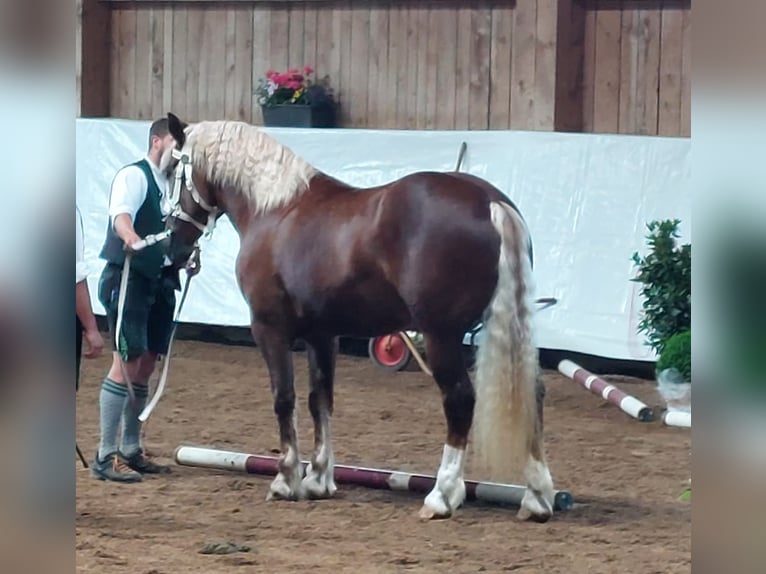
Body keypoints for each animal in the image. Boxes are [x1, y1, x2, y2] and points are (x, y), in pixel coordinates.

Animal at [159, 112, 556, 522]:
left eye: (172, 169)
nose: (172, 242)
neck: (275, 210)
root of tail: (490, 201)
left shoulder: (269, 328)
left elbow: (284, 398)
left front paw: (286, 479)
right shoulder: (322, 334)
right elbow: (320, 398)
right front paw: (318, 479)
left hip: (440, 335)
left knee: (460, 399)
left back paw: (441, 496)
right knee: (533, 393)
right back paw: (537, 497)